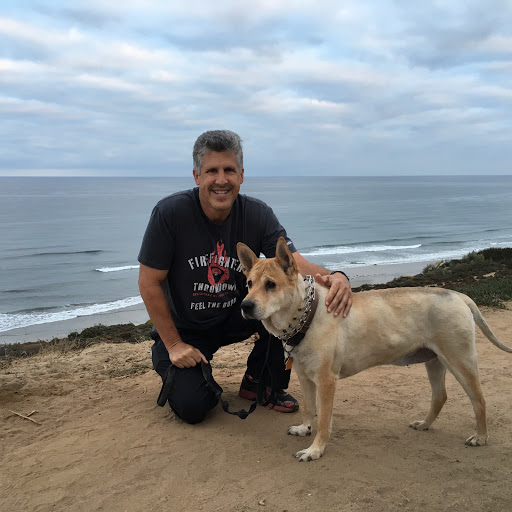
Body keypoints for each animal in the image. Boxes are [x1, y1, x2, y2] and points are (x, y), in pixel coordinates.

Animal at [237, 237, 512, 461]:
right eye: (249, 283)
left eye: (270, 285)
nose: (245, 306)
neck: (307, 315)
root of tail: (458, 295)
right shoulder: (305, 377)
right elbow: (309, 409)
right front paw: (305, 429)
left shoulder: (326, 381)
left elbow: (324, 419)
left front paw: (315, 450)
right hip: (434, 361)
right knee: (439, 396)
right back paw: (424, 424)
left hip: (460, 361)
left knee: (479, 400)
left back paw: (480, 437)